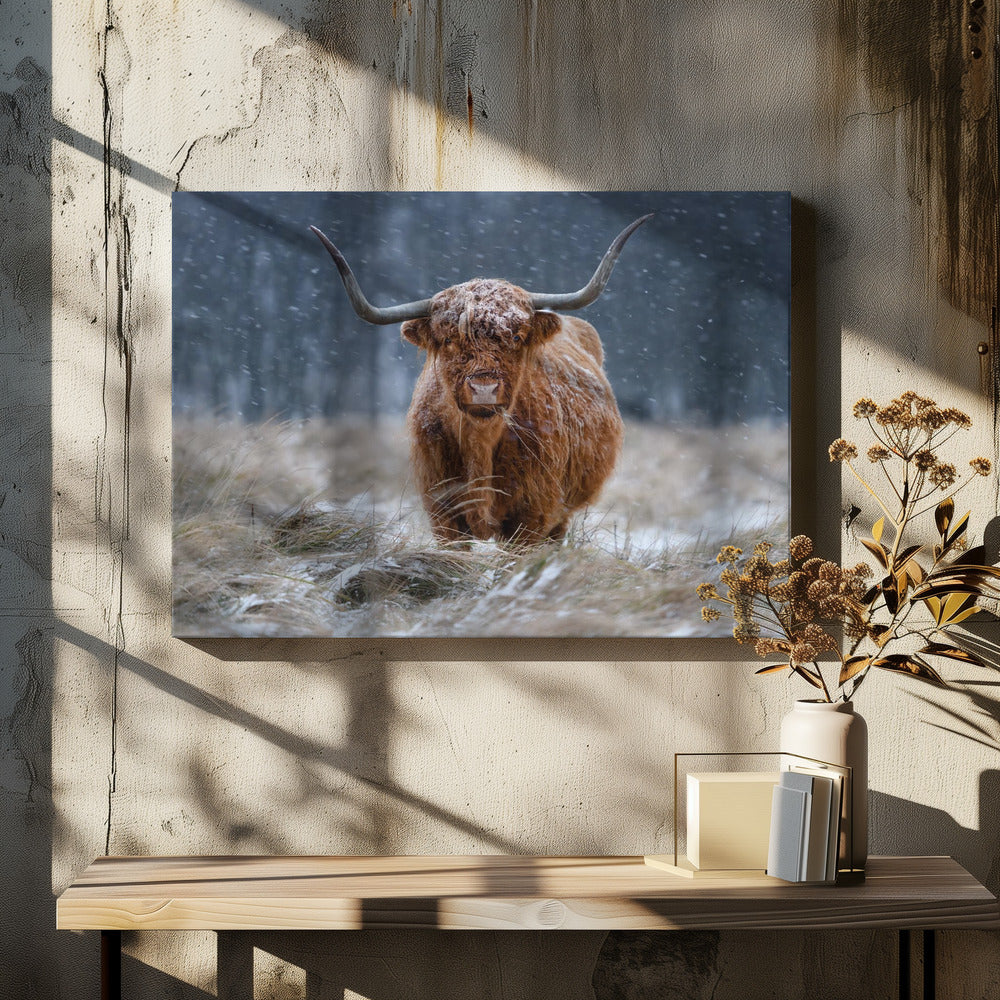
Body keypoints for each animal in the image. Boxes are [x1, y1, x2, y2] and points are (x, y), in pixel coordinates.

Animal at [310, 214, 651, 544]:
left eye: (516, 337)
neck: (480, 445)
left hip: (561, 514)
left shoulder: (532, 515)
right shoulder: (443, 513)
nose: (484, 389)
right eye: (449, 339)